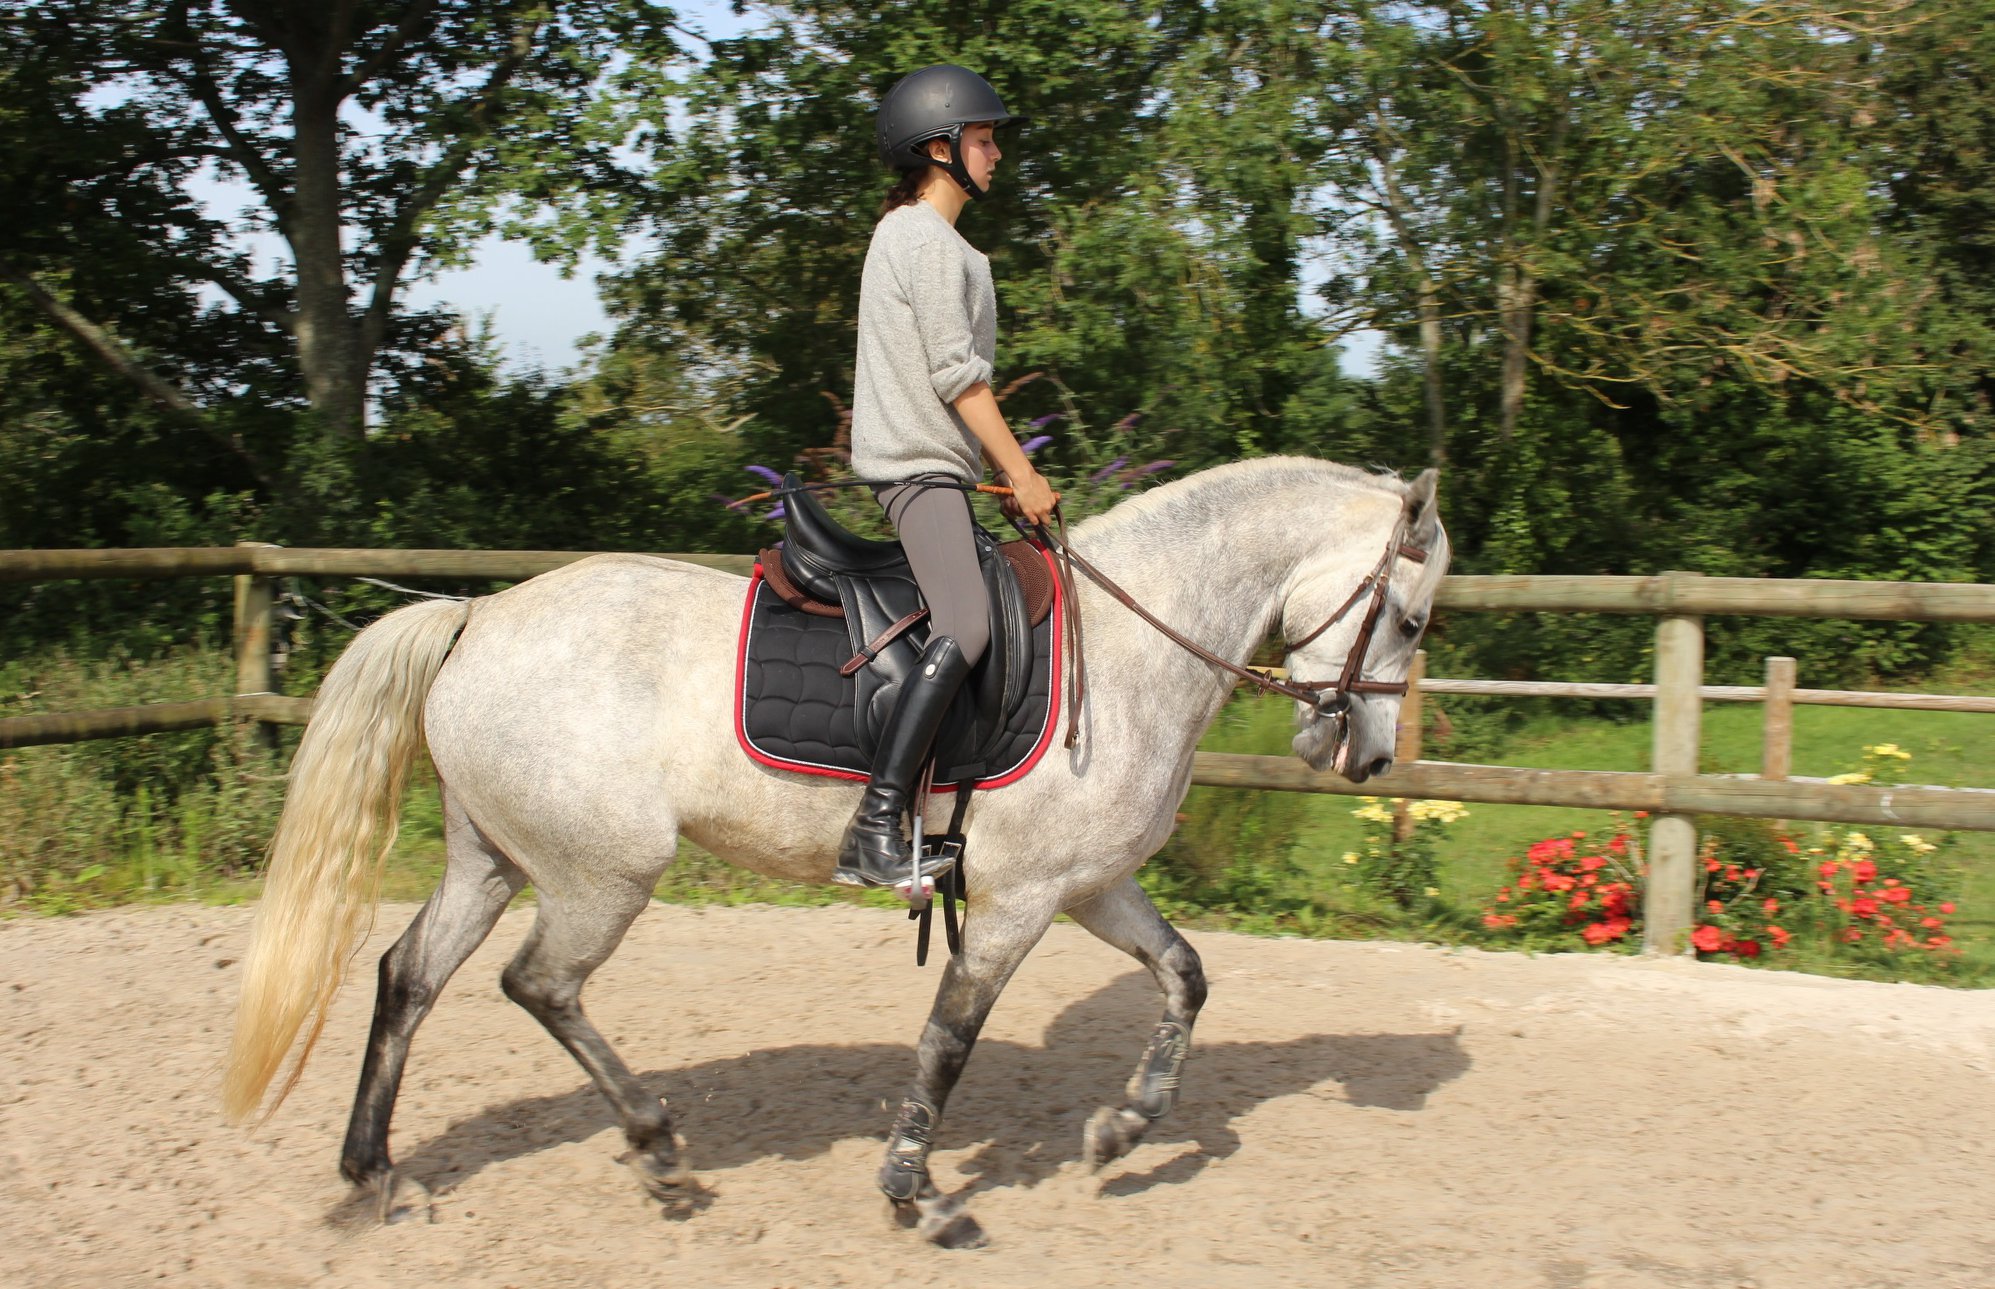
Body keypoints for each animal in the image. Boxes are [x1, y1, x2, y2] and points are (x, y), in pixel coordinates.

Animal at [221, 455, 1449, 1248]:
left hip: (491, 858)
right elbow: (949, 1038)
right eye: (1412, 619)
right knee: (540, 983)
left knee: (408, 977)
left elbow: (1186, 976)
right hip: (598, 873)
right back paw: (655, 1140)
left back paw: (376, 1175)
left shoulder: (1090, 885)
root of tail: (479, 617)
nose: (1366, 757)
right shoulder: (1018, 901)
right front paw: (918, 1191)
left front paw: (1121, 1127)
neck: (1130, 647)